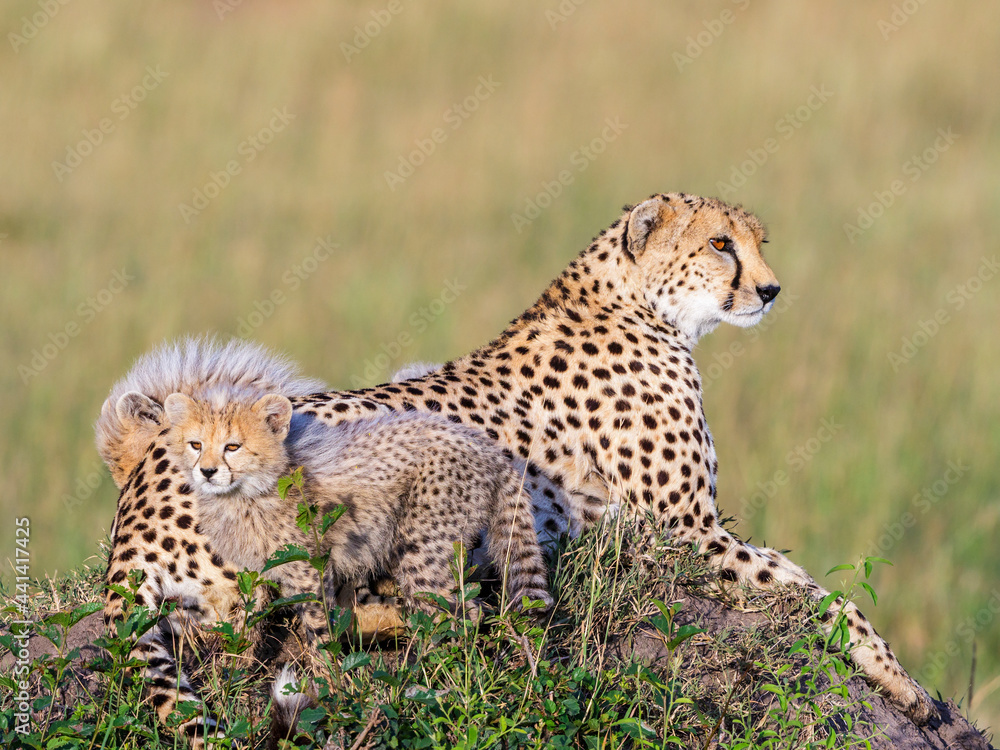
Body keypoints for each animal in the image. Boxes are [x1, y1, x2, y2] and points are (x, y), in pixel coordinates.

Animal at [101, 192, 937, 739]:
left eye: (755, 241)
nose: (769, 289)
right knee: (285, 612)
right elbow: (822, 594)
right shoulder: (685, 532)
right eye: (720, 244)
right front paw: (905, 684)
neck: (638, 304)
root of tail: (142, 488)